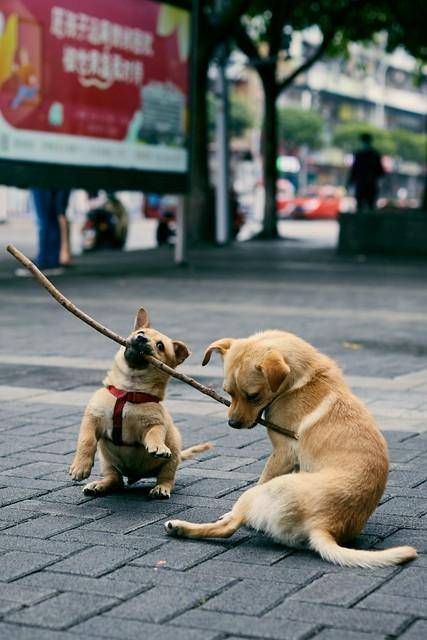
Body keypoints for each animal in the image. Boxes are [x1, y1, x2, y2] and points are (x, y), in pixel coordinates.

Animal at [69, 310, 214, 500]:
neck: (129, 390)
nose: (141, 339)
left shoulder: (154, 424)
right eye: (141, 333)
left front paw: (158, 446)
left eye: (160, 346)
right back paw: (99, 485)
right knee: (115, 480)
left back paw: (161, 488)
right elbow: (86, 440)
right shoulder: (92, 419)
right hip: (107, 462)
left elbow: (154, 434)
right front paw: (80, 467)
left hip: (174, 453)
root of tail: (136, 475)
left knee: (167, 477)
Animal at [166, 332, 418, 568]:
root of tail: (324, 525)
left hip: (260, 492)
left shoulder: (283, 452)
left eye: (253, 396)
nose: (233, 424)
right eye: (228, 392)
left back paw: (181, 527)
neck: (298, 382)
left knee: (229, 526)